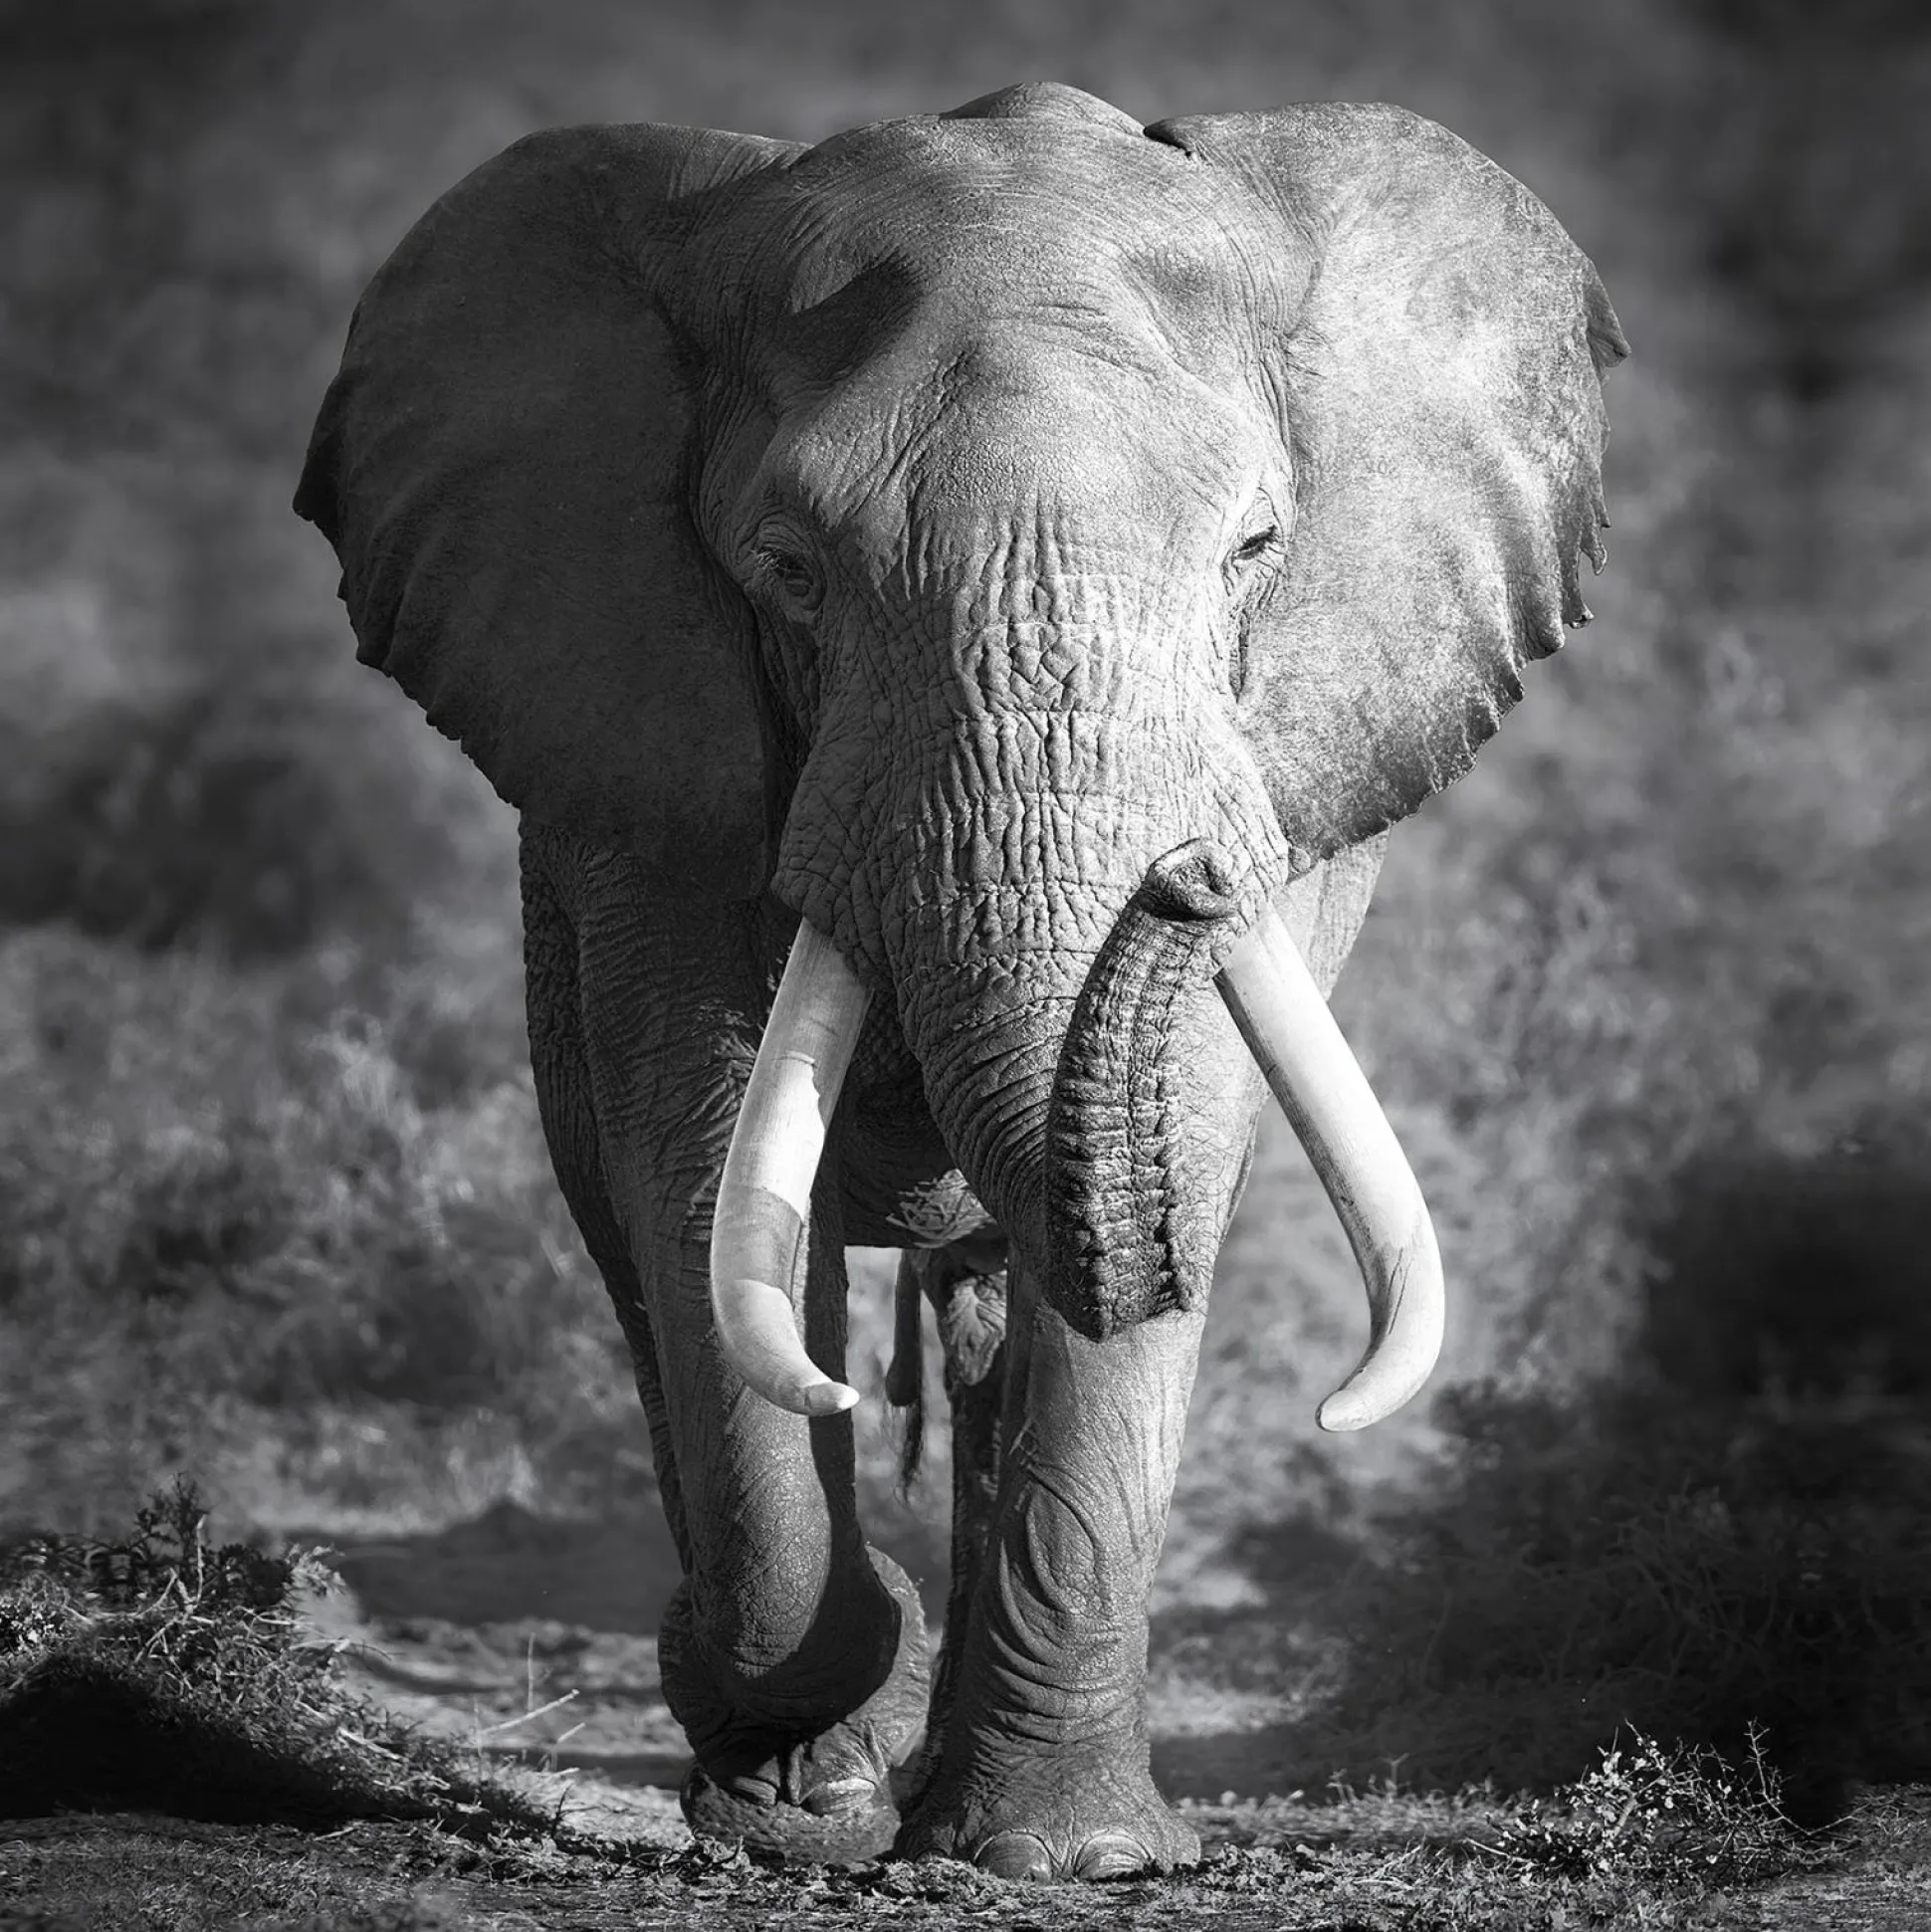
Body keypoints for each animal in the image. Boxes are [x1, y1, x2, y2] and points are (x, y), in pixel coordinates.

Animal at [296, 81, 1624, 1878]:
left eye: (1255, 549)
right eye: (791, 567)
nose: (1191, 875)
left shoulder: (1311, 746)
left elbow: (1185, 1140)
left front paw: (1065, 1857)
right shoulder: (639, 757)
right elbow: (701, 1163)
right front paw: (802, 1794)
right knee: (643, 1250)